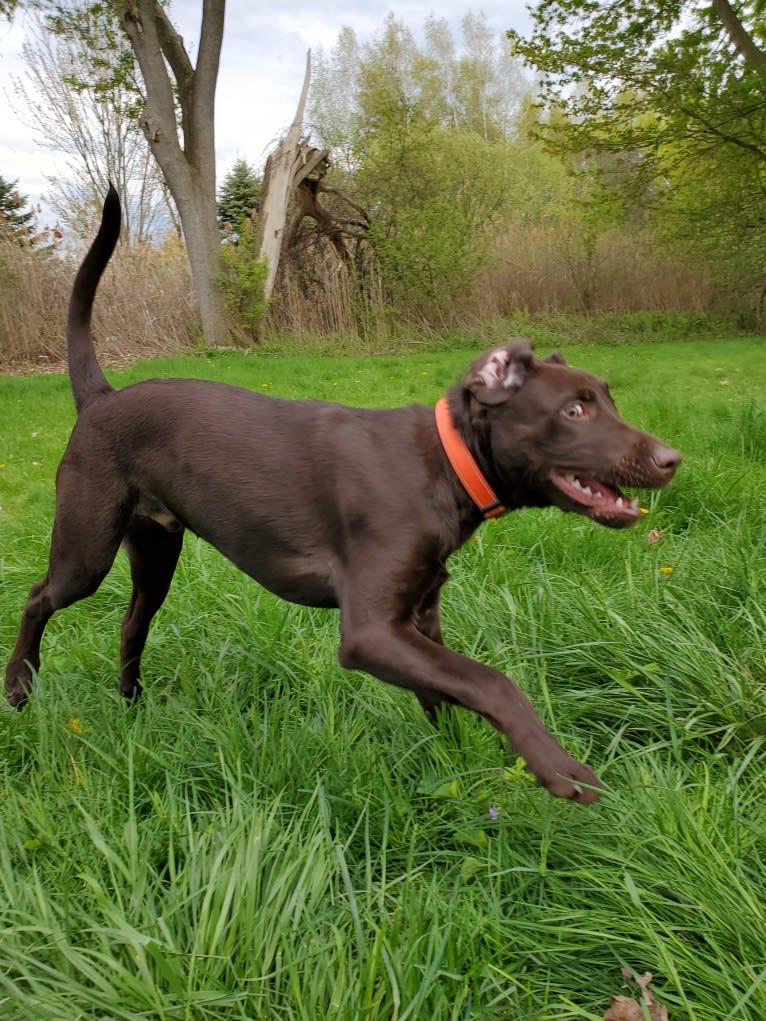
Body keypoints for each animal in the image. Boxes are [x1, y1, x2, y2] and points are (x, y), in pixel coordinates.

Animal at [3, 187, 682, 800]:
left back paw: (134, 707)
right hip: (86, 548)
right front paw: (560, 769)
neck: (442, 465)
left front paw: (460, 774)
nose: (671, 460)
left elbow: (447, 694)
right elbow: (492, 682)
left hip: (155, 552)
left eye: (608, 399)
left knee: (130, 623)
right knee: (38, 598)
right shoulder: (370, 632)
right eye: (574, 410)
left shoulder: (418, 619)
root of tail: (101, 398)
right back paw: (19, 686)